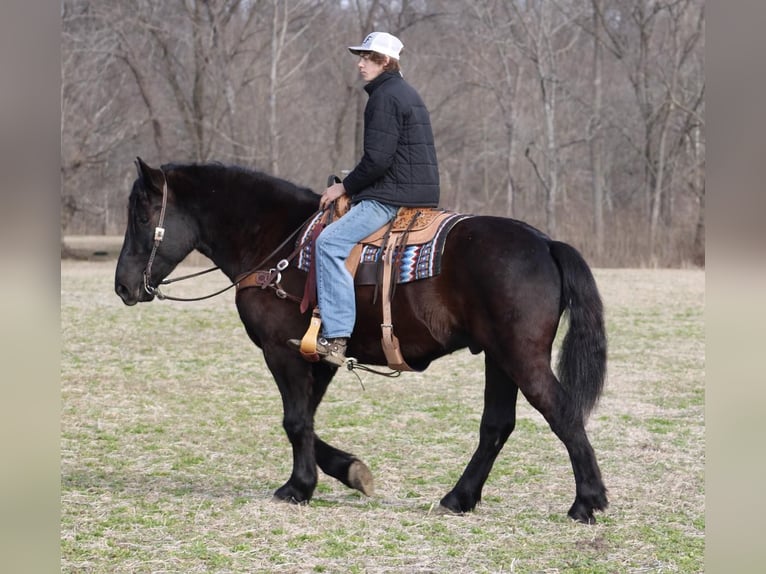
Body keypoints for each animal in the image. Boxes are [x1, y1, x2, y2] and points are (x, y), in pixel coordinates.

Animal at [114, 158, 608, 528]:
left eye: (142, 215)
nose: (122, 285)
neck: (278, 246)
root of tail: (544, 242)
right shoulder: (318, 356)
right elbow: (308, 421)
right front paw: (348, 471)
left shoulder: (280, 350)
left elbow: (294, 420)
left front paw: (298, 487)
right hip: (498, 359)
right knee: (496, 426)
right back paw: (459, 497)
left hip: (520, 357)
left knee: (562, 413)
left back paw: (587, 501)